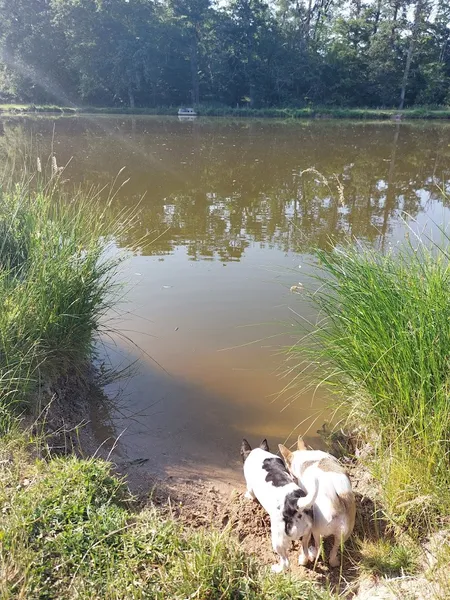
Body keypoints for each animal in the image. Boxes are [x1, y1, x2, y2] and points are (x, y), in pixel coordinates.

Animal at [241, 440, 318, 572]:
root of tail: (295, 503)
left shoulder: (250, 486)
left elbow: (250, 493)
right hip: (307, 534)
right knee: (305, 551)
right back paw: (303, 560)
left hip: (278, 540)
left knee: (285, 562)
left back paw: (277, 569)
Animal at [278, 436, 356, 568]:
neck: (306, 457)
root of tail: (338, 504)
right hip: (343, 534)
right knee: (334, 550)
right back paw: (334, 561)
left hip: (315, 530)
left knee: (317, 546)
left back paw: (308, 556)